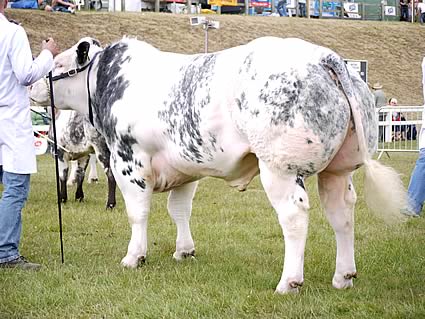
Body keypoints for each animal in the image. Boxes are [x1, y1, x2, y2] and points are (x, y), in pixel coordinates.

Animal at [29, 36, 404, 294]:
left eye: (56, 64)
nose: (32, 85)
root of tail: (325, 56)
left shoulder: (128, 162)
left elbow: (138, 213)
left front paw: (134, 257)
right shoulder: (185, 168)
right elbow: (179, 209)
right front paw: (184, 251)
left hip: (279, 167)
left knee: (294, 215)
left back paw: (289, 282)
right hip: (338, 170)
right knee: (342, 214)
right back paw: (343, 276)